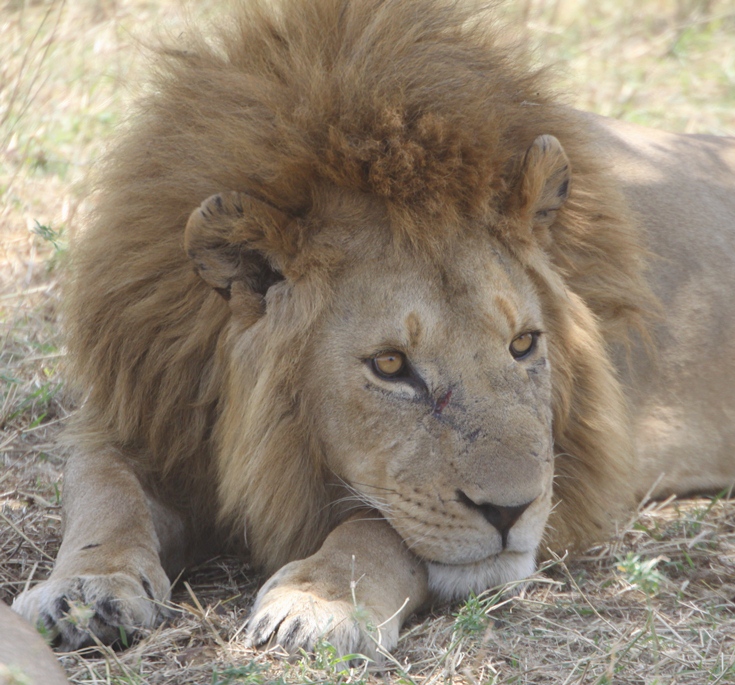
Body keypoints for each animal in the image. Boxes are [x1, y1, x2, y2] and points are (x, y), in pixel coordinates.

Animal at [12, 0, 735, 661]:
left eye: (523, 344)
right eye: (391, 366)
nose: (513, 511)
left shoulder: (578, 464)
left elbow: (378, 525)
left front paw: (318, 601)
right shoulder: (144, 410)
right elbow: (104, 492)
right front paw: (84, 592)